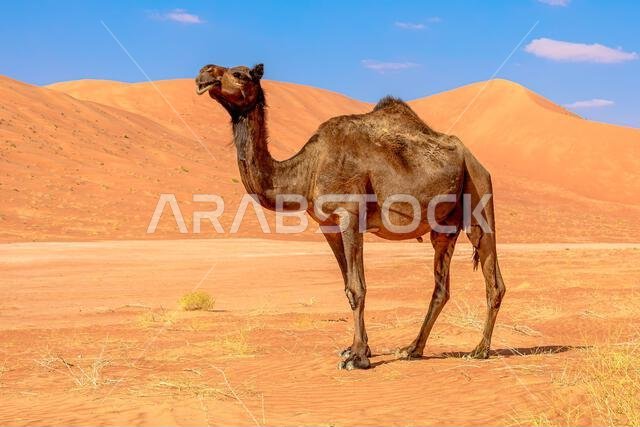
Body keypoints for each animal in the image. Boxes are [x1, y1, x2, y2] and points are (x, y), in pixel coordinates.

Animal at [195, 63, 506, 370]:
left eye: (238, 74)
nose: (204, 74)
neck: (308, 169)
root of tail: (474, 159)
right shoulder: (328, 225)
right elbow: (347, 287)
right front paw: (359, 348)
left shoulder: (350, 216)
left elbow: (358, 288)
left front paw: (357, 357)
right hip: (443, 228)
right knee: (441, 286)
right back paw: (412, 348)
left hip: (478, 190)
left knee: (493, 278)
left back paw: (479, 350)